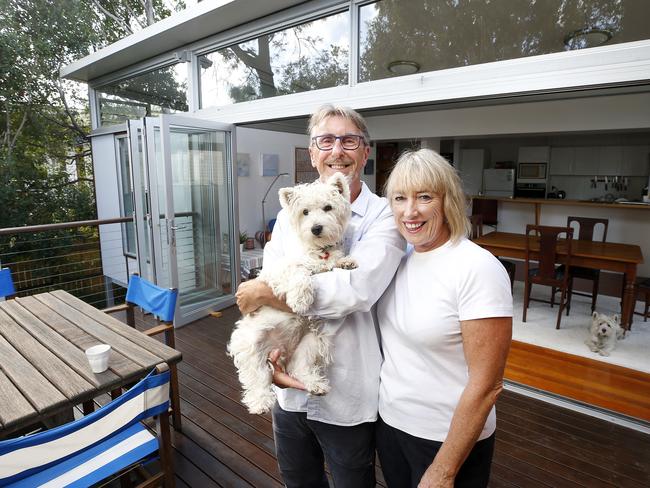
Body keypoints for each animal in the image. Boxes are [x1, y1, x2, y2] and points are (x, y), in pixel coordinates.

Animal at [228, 173, 356, 414]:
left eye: (328, 207)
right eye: (305, 212)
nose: (316, 228)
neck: (318, 250)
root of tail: (281, 349)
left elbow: (334, 262)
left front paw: (346, 261)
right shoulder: (278, 271)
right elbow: (299, 273)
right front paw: (300, 299)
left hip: (311, 341)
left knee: (299, 368)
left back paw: (316, 385)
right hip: (251, 343)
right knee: (257, 375)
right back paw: (260, 401)